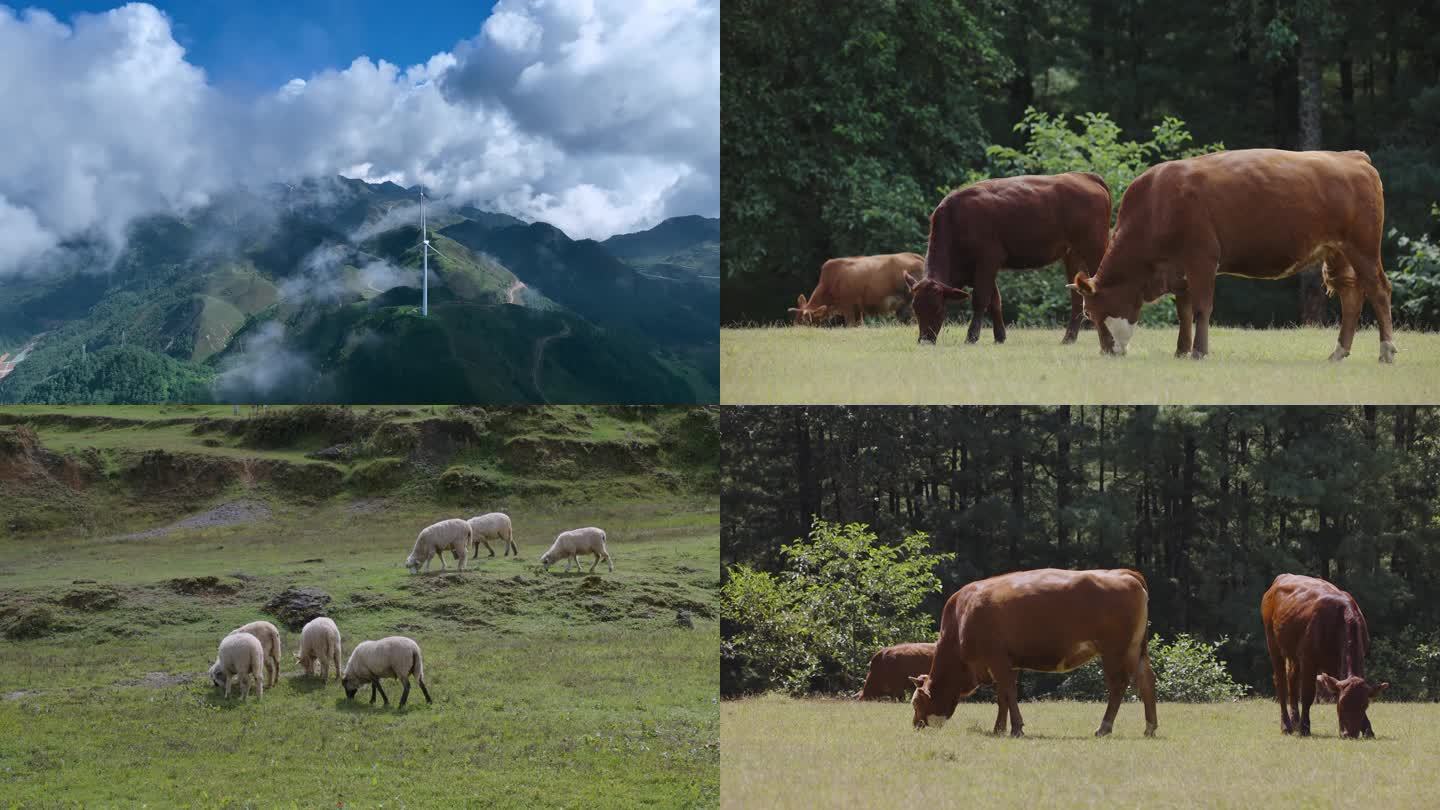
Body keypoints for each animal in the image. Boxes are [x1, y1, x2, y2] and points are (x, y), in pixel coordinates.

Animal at [910, 171, 1111, 341]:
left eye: (938, 309)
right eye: (915, 308)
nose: (924, 340)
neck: (956, 219)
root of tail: (1084, 176)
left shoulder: (987, 261)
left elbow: (981, 299)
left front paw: (972, 336)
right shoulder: (981, 269)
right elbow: (995, 301)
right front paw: (999, 336)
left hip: (1095, 247)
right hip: (1072, 254)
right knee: (1077, 296)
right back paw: (1068, 338)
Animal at [910, 564, 1157, 735]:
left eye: (916, 703)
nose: (915, 726)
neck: (961, 617)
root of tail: (1123, 573)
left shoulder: (997, 660)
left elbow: (1009, 693)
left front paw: (1016, 728)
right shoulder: (1008, 663)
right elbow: (1003, 696)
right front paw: (1000, 728)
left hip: (1116, 651)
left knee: (1118, 685)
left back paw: (1104, 727)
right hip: (1136, 650)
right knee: (1146, 680)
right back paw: (1150, 727)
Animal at [1071, 147, 1393, 358]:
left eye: (1090, 313)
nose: (1107, 352)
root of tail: (1350, 156)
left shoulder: (1201, 259)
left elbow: (1202, 308)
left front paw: (1199, 352)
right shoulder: (1179, 271)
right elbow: (1184, 312)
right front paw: (1181, 350)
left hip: (1363, 247)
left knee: (1378, 290)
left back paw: (1386, 351)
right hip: (1338, 251)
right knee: (1351, 296)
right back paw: (1339, 352)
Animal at [1261, 570, 1382, 735]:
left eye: (1365, 706)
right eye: (1341, 704)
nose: (1350, 734)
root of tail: (1282, 577)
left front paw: (1368, 729)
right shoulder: (1308, 659)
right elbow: (1307, 694)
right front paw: (1305, 728)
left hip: (1295, 654)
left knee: (1292, 681)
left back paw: (1295, 721)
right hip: (1273, 644)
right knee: (1281, 683)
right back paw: (1286, 725)